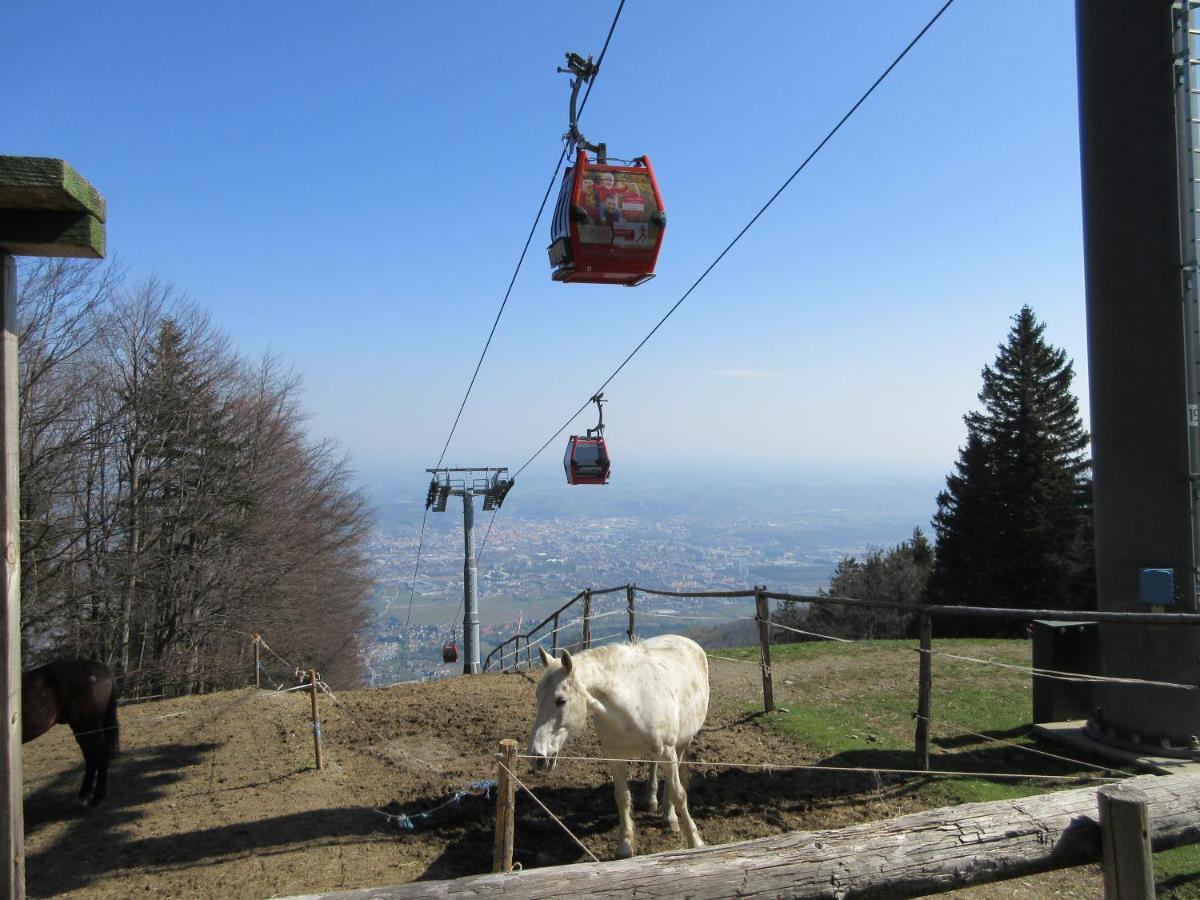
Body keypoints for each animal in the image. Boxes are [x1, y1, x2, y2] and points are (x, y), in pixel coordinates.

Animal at [22, 657, 119, 806]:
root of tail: (102, 668)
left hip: (88, 725)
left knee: (100, 755)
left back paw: (97, 798)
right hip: (81, 729)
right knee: (91, 757)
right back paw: (83, 796)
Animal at [528, 633, 710, 859]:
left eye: (560, 700)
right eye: (537, 695)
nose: (537, 756)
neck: (631, 701)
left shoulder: (667, 751)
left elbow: (679, 793)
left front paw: (696, 841)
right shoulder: (614, 757)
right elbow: (622, 797)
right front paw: (625, 846)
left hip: (681, 743)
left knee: (674, 780)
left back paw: (669, 816)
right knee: (653, 767)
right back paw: (652, 801)